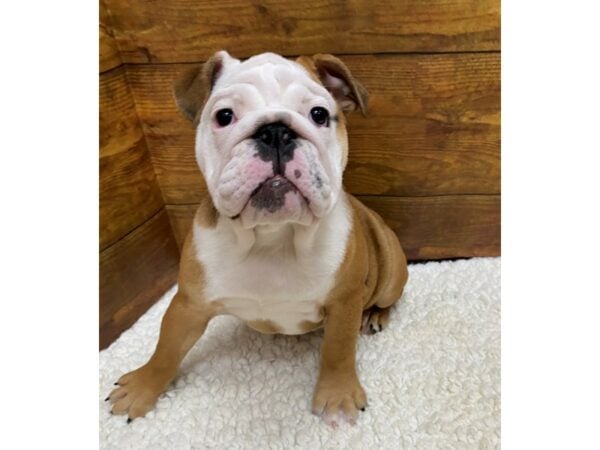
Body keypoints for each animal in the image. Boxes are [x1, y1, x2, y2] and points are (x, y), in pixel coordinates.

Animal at [108, 51, 408, 424]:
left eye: (319, 115)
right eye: (224, 116)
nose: (275, 131)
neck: (273, 236)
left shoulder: (344, 302)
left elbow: (338, 351)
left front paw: (337, 398)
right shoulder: (189, 304)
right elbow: (167, 347)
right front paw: (142, 388)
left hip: (390, 272)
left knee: (387, 297)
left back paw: (375, 316)